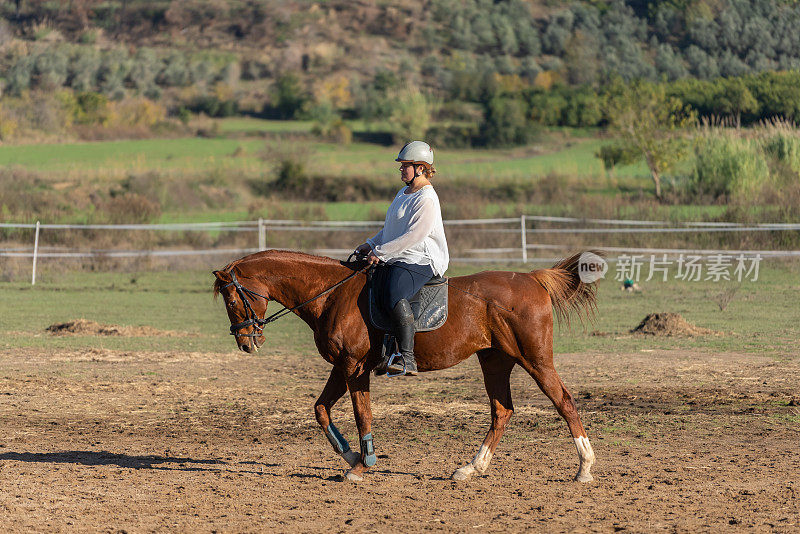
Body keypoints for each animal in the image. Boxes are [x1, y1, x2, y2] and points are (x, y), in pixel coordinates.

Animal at [209, 252, 596, 486]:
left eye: (231, 299)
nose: (246, 343)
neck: (332, 295)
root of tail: (531, 279)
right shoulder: (341, 367)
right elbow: (321, 409)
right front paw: (351, 454)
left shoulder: (354, 367)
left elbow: (362, 414)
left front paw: (362, 464)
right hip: (494, 361)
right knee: (502, 411)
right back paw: (471, 468)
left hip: (535, 359)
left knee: (564, 401)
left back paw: (584, 467)